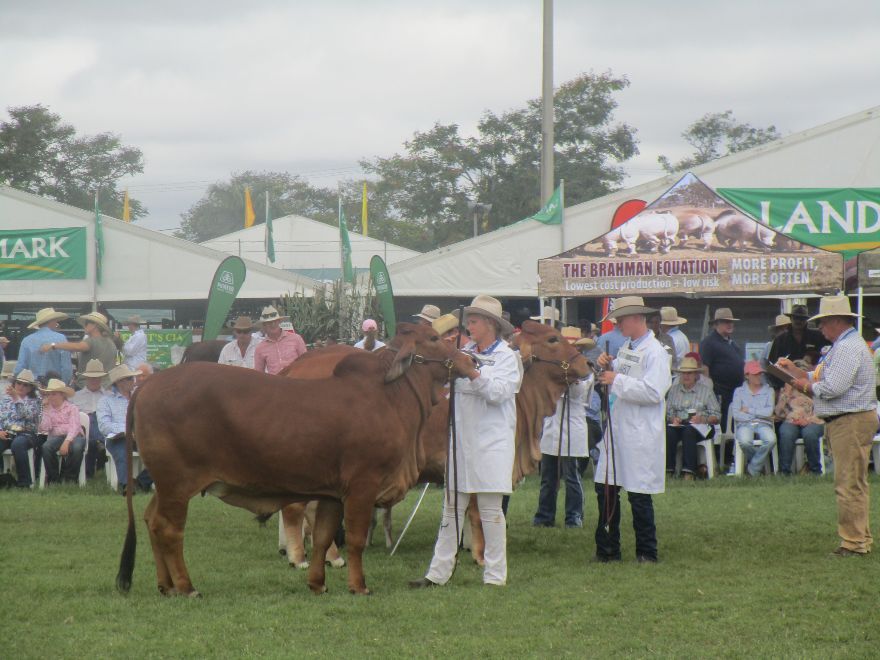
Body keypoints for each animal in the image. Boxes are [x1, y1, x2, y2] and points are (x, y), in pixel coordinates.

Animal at [119, 322, 474, 596]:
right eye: (433, 338)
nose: (469, 360)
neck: (391, 396)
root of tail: (148, 384)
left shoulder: (333, 493)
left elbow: (323, 537)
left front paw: (318, 583)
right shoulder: (362, 486)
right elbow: (355, 539)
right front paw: (359, 585)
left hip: (165, 486)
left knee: (151, 520)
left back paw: (165, 585)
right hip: (178, 485)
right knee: (168, 529)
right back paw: (185, 586)